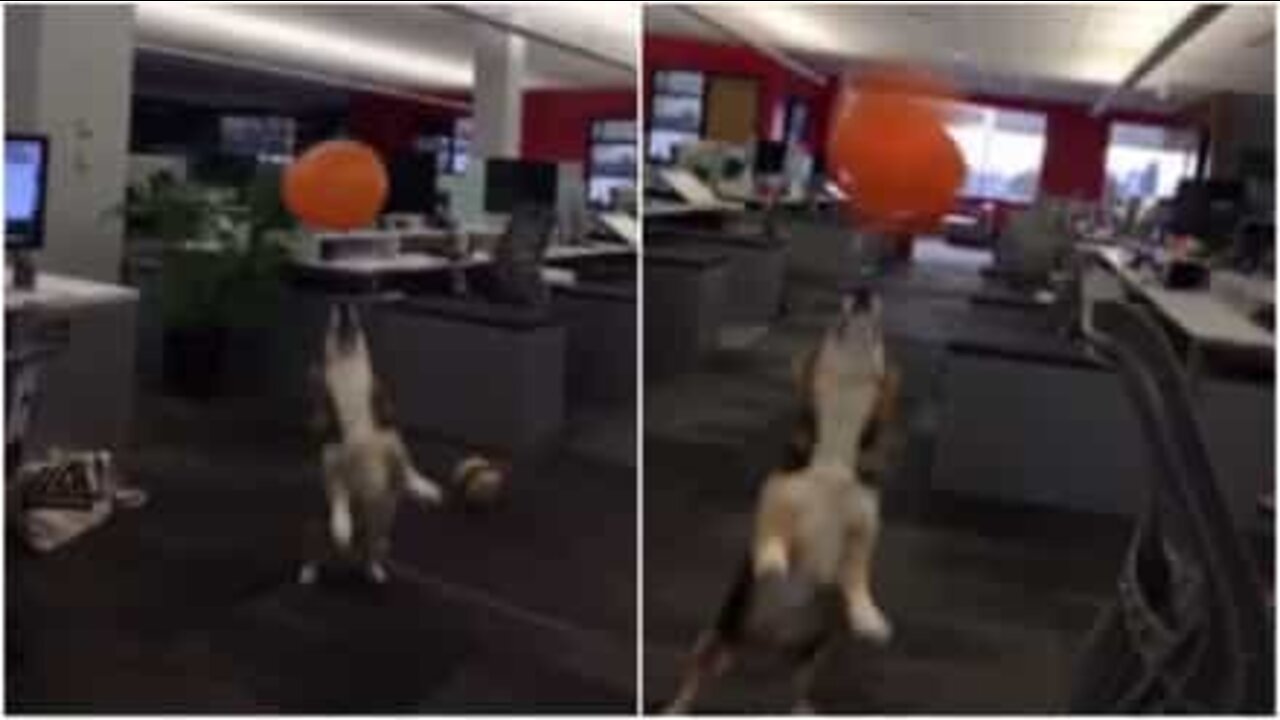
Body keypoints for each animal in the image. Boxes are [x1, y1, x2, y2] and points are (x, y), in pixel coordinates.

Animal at [296, 298, 442, 584]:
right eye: (330, 321)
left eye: (355, 316)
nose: (343, 304)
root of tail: (346, 561)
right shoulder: (332, 459)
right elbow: (339, 494)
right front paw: (342, 525)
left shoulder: (394, 444)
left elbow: (408, 469)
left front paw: (424, 489)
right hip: (313, 529)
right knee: (315, 551)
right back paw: (310, 570)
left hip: (381, 538)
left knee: (371, 551)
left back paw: (373, 569)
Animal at [665, 292, 896, 712]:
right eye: (833, 324)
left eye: (878, 335)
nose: (863, 291)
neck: (837, 440)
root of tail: (764, 647)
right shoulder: (775, 503)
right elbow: (774, 538)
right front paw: (773, 565)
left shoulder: (863, 529)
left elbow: (857, 576)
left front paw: (867, 617)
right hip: (715, 638)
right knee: (694, 679)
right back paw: (675, 708)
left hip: (814, 652)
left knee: (799, 683)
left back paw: (802, 707)